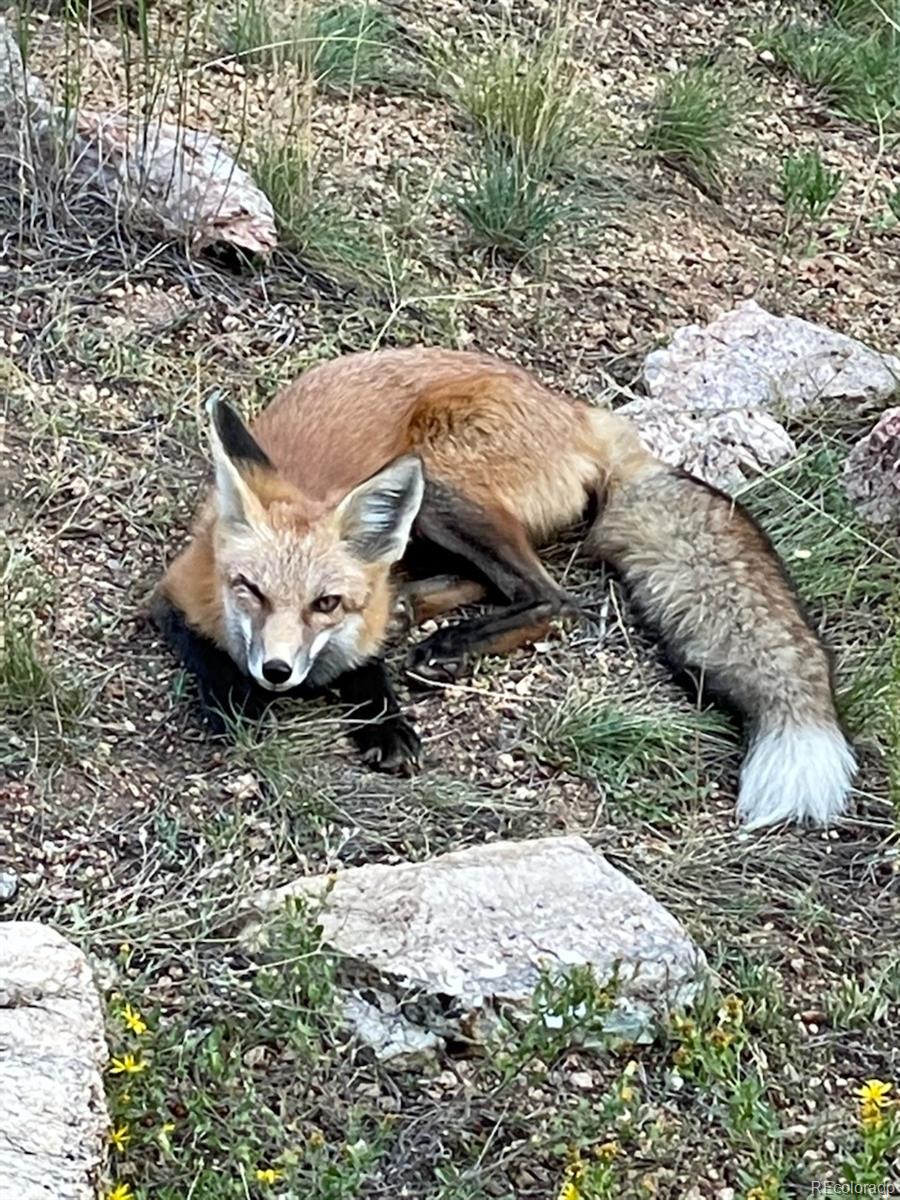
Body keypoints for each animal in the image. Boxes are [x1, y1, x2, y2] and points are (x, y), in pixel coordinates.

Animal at [154, 345, 859, 825]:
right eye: (250, 590)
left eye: (324, 604)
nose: (276, 672)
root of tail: (581, 412)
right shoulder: (172, 593)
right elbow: (205, 650)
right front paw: (235, 700)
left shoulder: (360, 613)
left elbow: (368, 667)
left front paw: (386, 726)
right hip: (435, 510)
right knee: (488, 582)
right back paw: (422, 614)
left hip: (441, 481)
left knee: (552, 597)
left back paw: (450, 643)